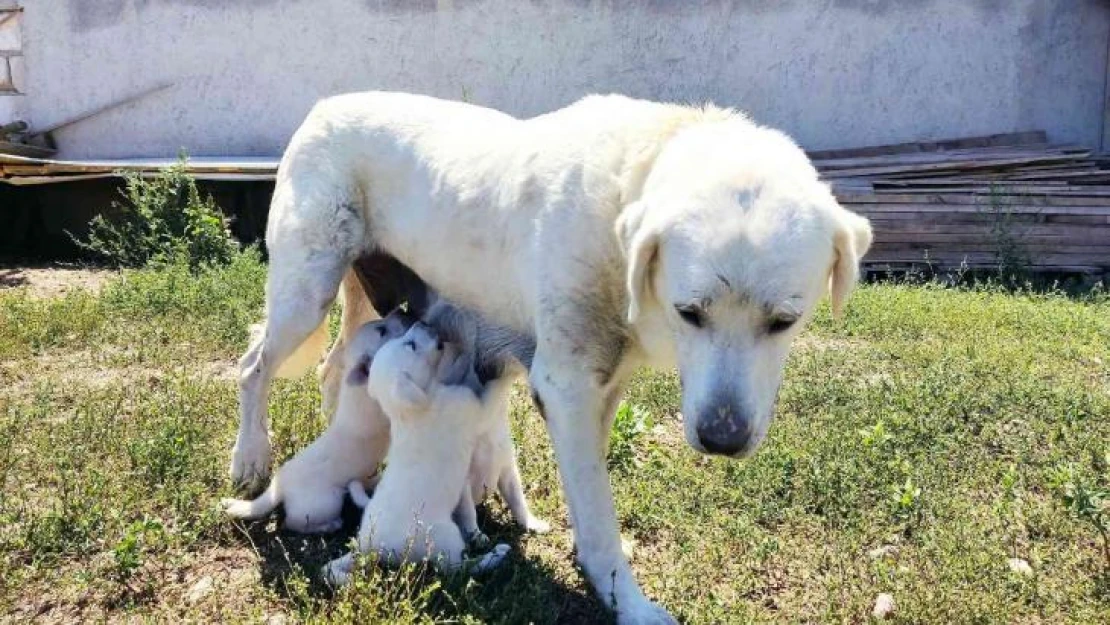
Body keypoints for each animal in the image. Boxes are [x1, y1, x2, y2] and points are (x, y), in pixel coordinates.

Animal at [218, 313, 415, 532]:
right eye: (382, 331)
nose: (401, 313)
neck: (360, 386)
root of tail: (279, 487)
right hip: (326, 503)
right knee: (294, 523)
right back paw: (329, 525)